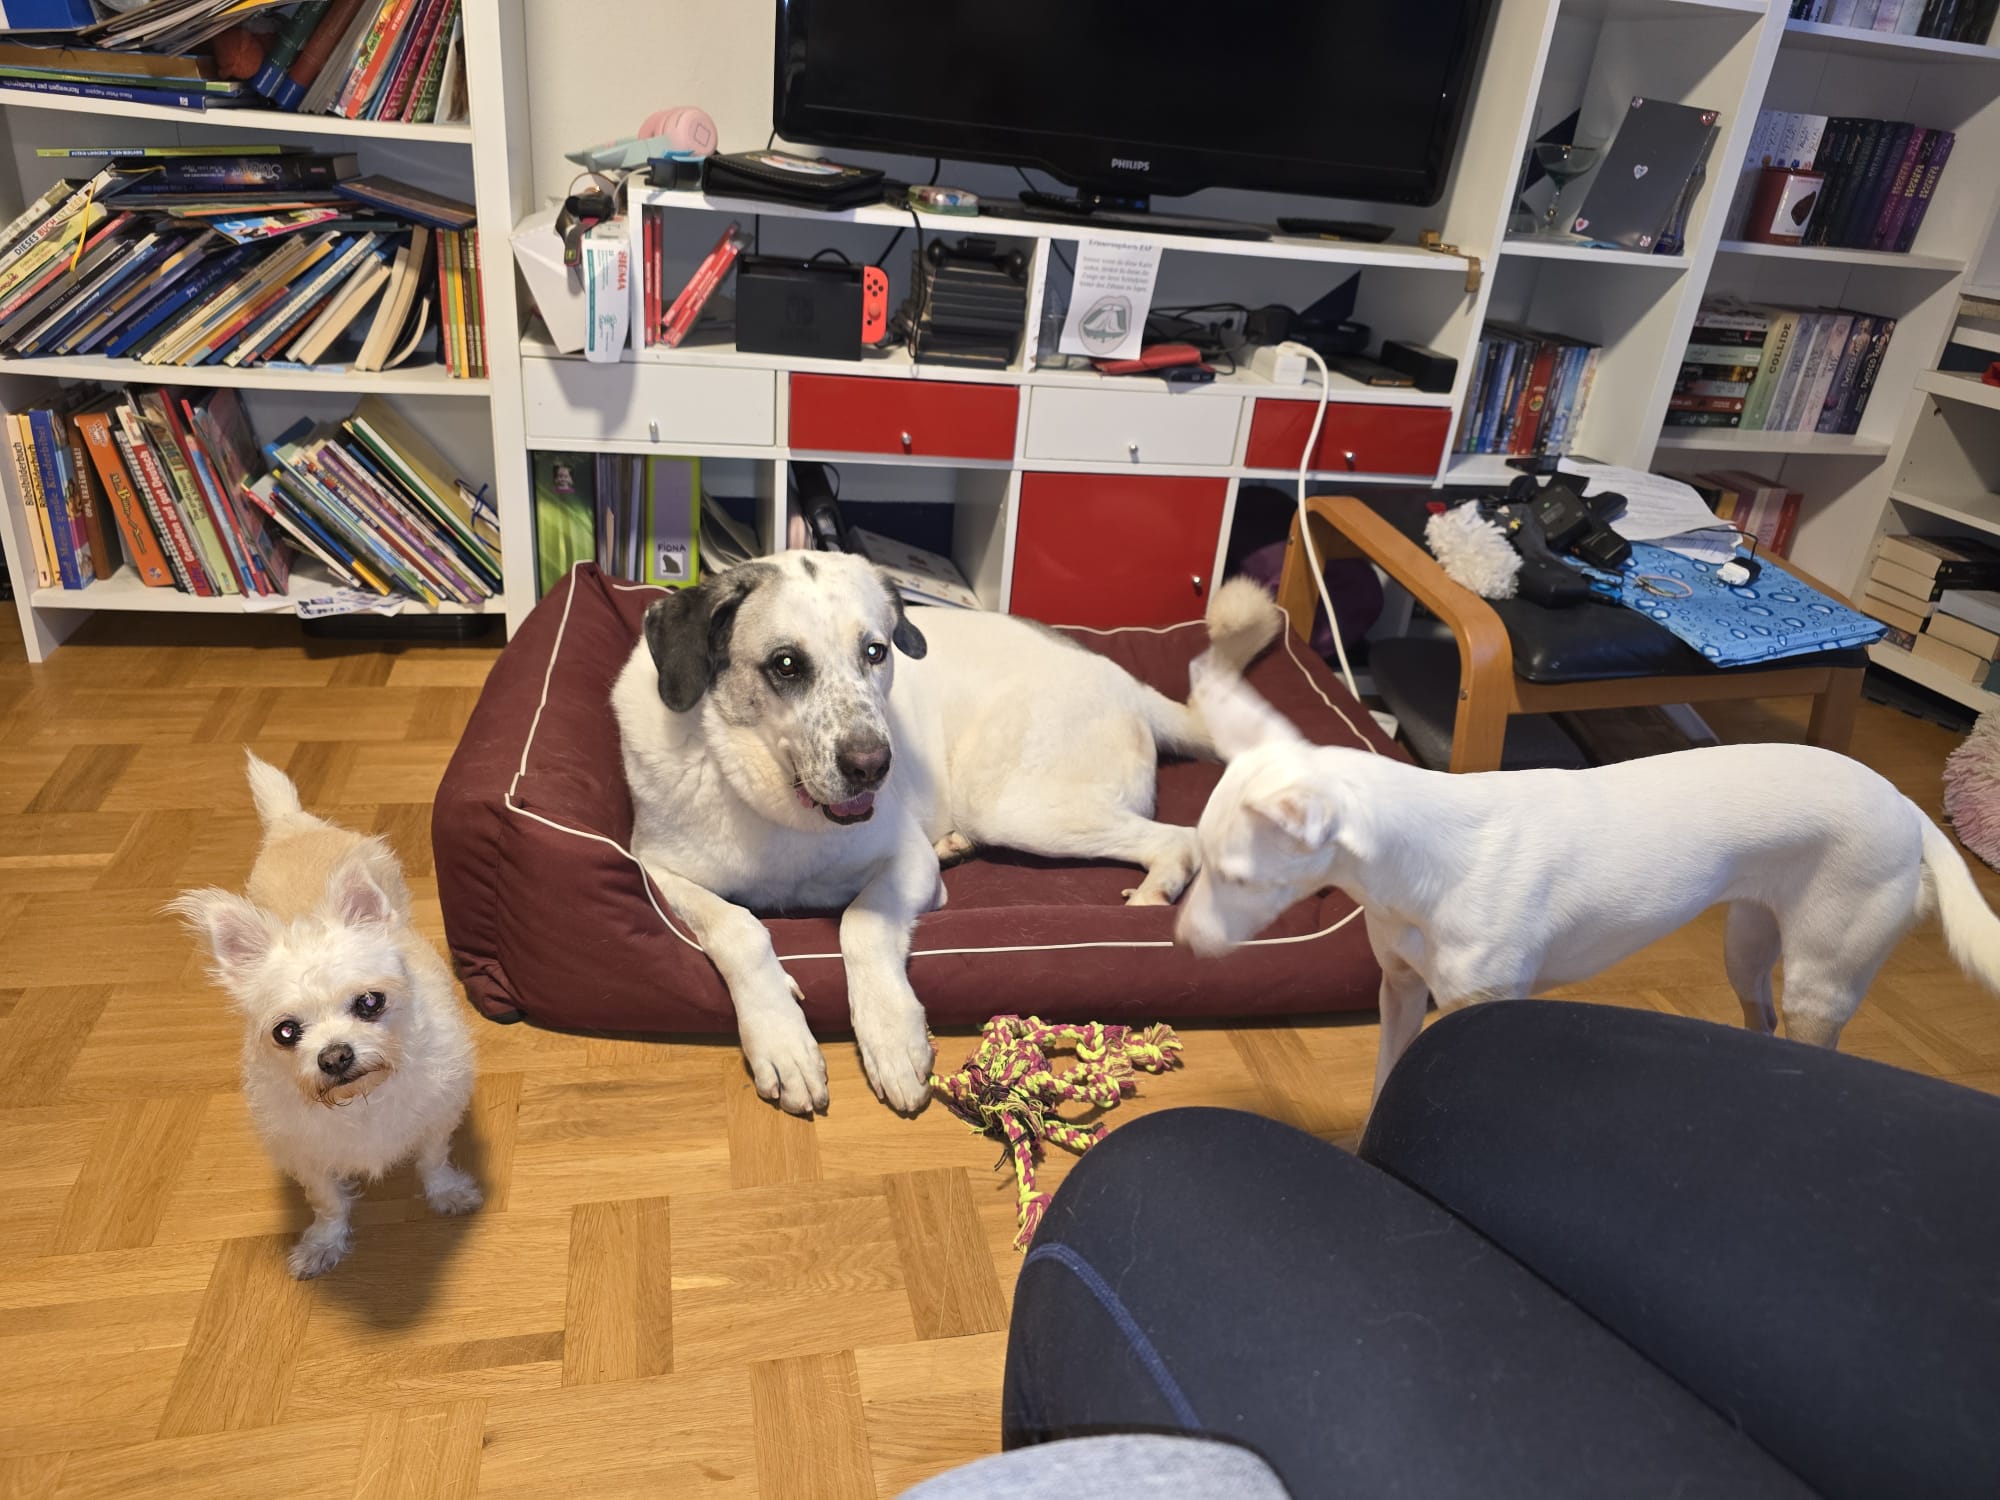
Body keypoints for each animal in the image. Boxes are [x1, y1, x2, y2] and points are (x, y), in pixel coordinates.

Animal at [169, 753, 480, 1278]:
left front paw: (448, 1194)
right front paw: (323, 1244)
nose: (334, 1056)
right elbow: (328, 1201)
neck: (362, 1099)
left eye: (370, 1003)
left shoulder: (436, 1119)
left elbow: (433, 1162)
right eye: (285, 1032)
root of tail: (291, 825)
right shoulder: (306, 1155)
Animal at [613, 552, 1282, 1116]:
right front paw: (782, 1041)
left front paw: (890, 1039)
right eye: (785, 664)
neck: (779, 805)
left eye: (875, 652)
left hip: (1011, 804)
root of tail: (1128, 681)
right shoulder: (657, 866)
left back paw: (1149, 898)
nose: (873, 766)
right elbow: (738, 926)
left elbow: (860, 923)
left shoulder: (904, 861)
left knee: (1178, 838)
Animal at [1175, 662, 2000, 1101]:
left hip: (1823, 977)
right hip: (1748, 941)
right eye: (1200, 861)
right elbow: (1387, 1076)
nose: (1179, 942)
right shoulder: (1400, 989)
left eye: (1237, 876)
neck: (1424, 861)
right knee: (1758, 1019)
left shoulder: (1481, 1009)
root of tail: (1905, 806)